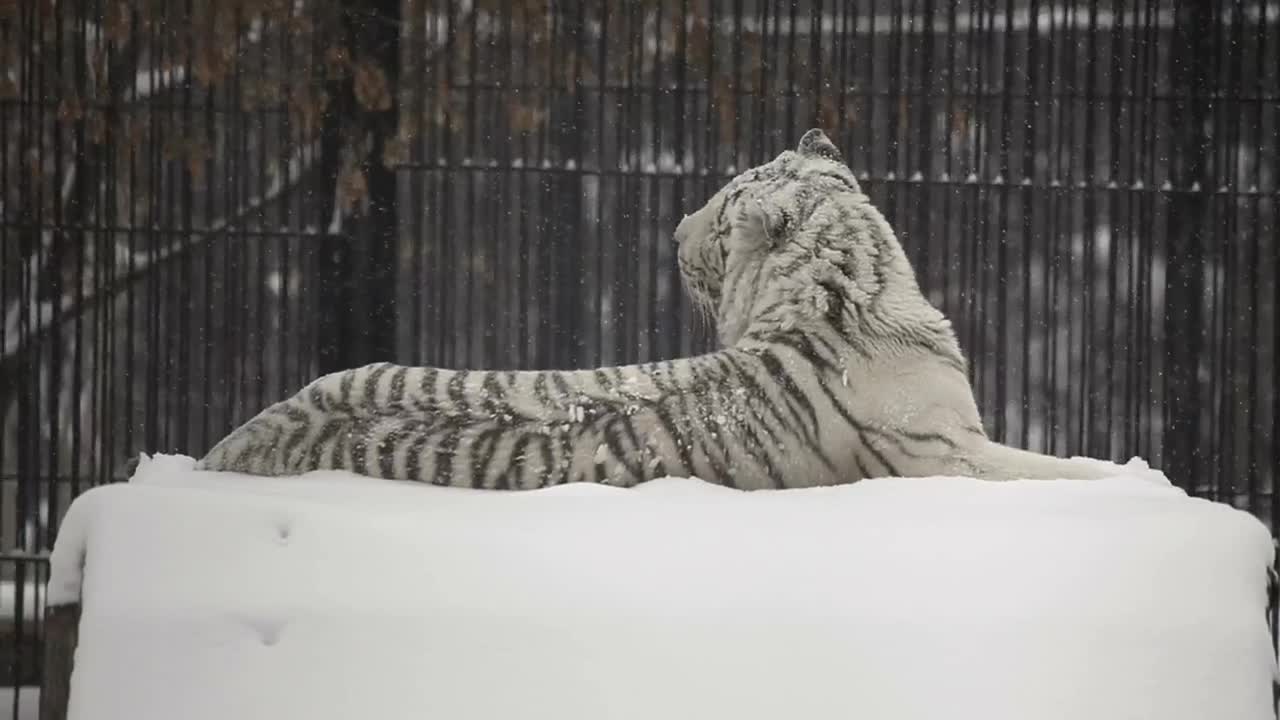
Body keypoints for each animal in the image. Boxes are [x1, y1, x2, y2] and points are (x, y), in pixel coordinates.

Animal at [194, 128, 1141, 488]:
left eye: (720, 210)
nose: (677, 228)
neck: (841, 284)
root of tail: (237, 443)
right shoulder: (950, 456)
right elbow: (1068, 472)